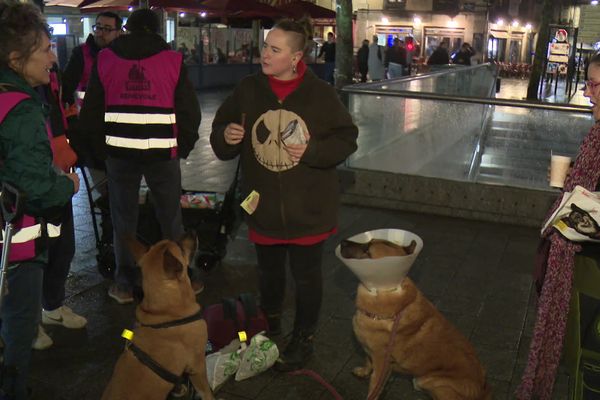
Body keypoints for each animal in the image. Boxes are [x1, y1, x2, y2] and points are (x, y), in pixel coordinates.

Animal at [102, 233, 214, 400]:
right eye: (180, 248)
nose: (192, 231)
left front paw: (178, 389)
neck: (164, 312)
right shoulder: (197, 366)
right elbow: (206, 391)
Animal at [344, 241, 490, 400]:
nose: (342, 242)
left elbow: (374, 388)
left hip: (428, 381)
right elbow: (367, 361)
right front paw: (363, 371)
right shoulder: (370, 354)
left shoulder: (382, 363)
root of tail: (483, 390)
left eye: (367, 251)